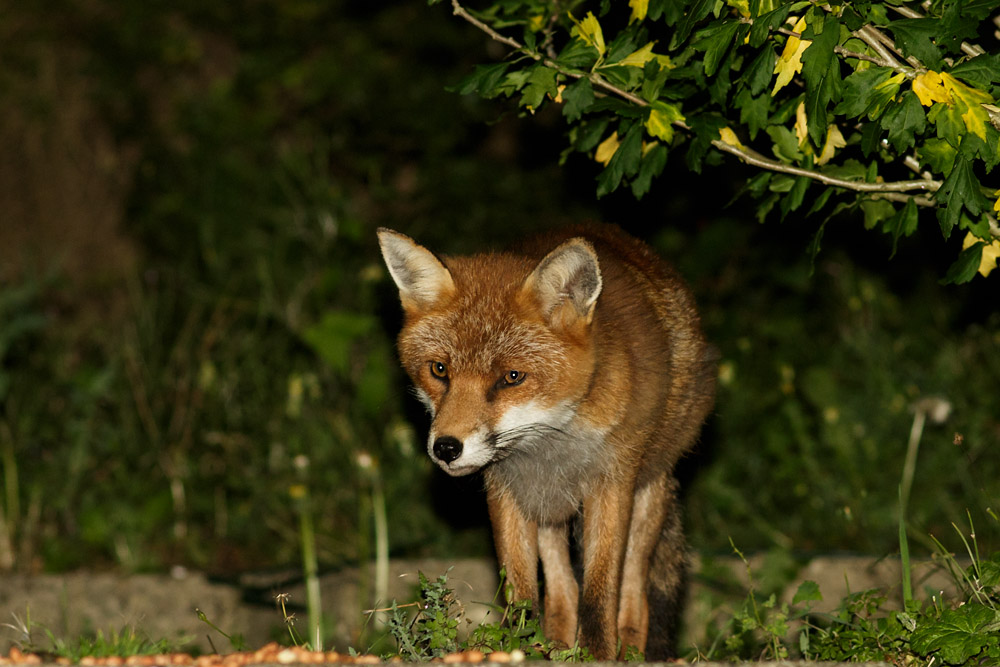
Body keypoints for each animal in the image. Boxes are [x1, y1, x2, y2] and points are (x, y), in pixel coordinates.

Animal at [377, 223, 716, 660]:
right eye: (439, 370)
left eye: (512, 377)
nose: (446, 448)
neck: (548, 448)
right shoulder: (505, 490)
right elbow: (522, 596)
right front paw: (519, 647)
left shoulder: (611, 485)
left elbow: (599, 594)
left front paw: (597, 656)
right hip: (548, 509)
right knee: (561, 592)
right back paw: (552, 646)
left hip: (647, 497)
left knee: (633, 594)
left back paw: (629, 651)